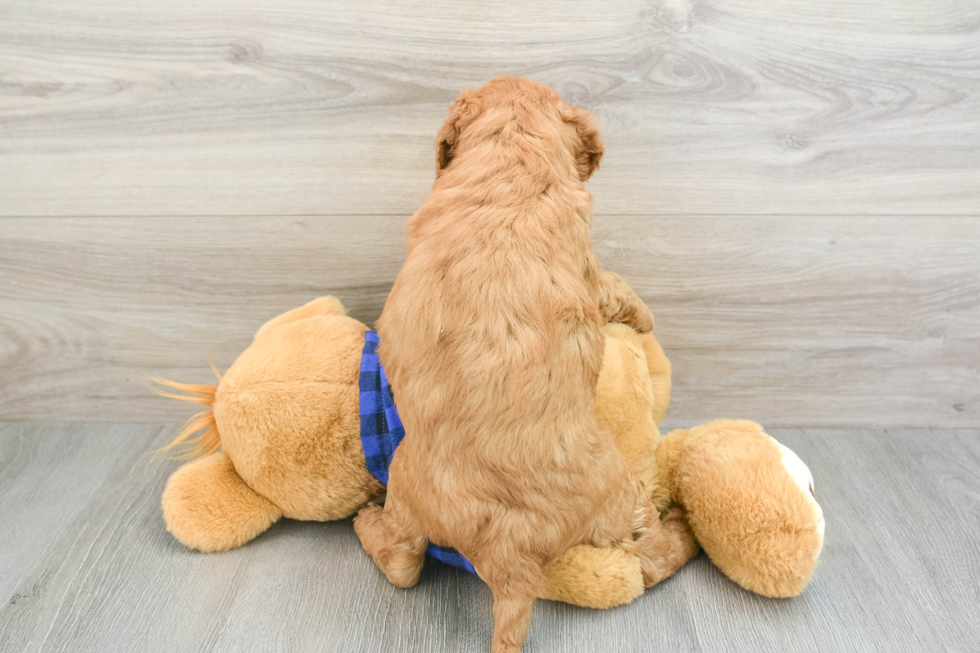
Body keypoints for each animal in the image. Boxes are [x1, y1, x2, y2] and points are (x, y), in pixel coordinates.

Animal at [352, 75, 696, 648]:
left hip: (404, 490)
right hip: (624, 496)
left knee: (403, 563)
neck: (510, 152)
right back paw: (685, 533)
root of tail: (508, 555)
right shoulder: (589, 268)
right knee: (651, 561)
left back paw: (366, 525)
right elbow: (616, 285)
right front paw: (645, 316)